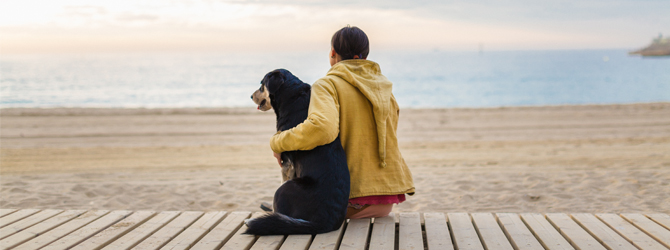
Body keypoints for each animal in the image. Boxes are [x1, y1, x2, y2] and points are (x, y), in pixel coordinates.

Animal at [247, 69, 352, 236]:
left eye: (262, 85)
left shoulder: (286, 162)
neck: (290, 96)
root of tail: (325, 222)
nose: (251, 96)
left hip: (285, 189)